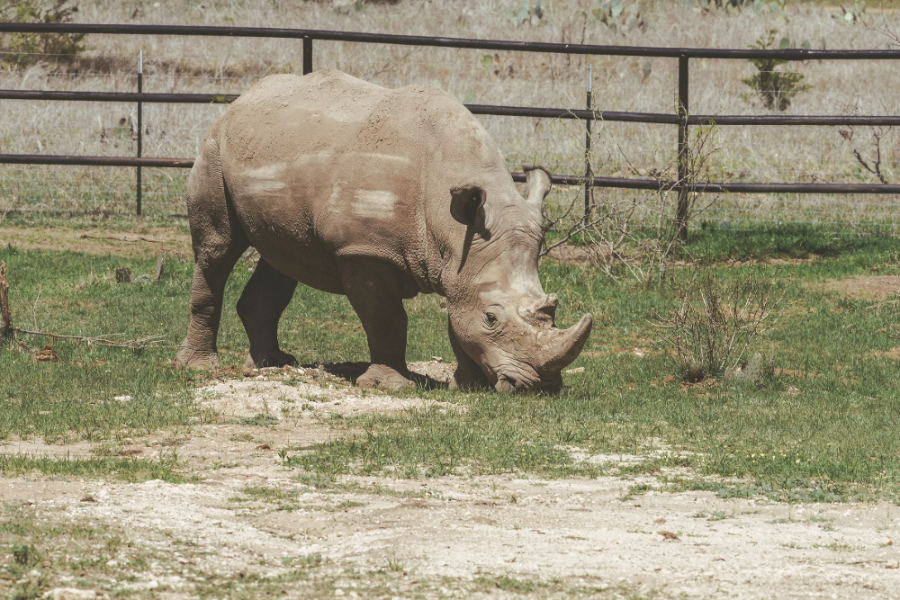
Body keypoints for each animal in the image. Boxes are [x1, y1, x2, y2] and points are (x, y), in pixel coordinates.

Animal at [175, 69, 592, 392]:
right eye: (492, 318)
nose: (539, 386)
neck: (449, 229)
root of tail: (239, 101)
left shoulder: (463, 261)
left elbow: (456, 317)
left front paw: (468, 386)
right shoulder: (364, 250)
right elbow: (387, 319)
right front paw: (391, 386)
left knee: (282, 259)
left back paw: (272, 364)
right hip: (213, 149)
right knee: (218, 249)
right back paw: (199, 367)